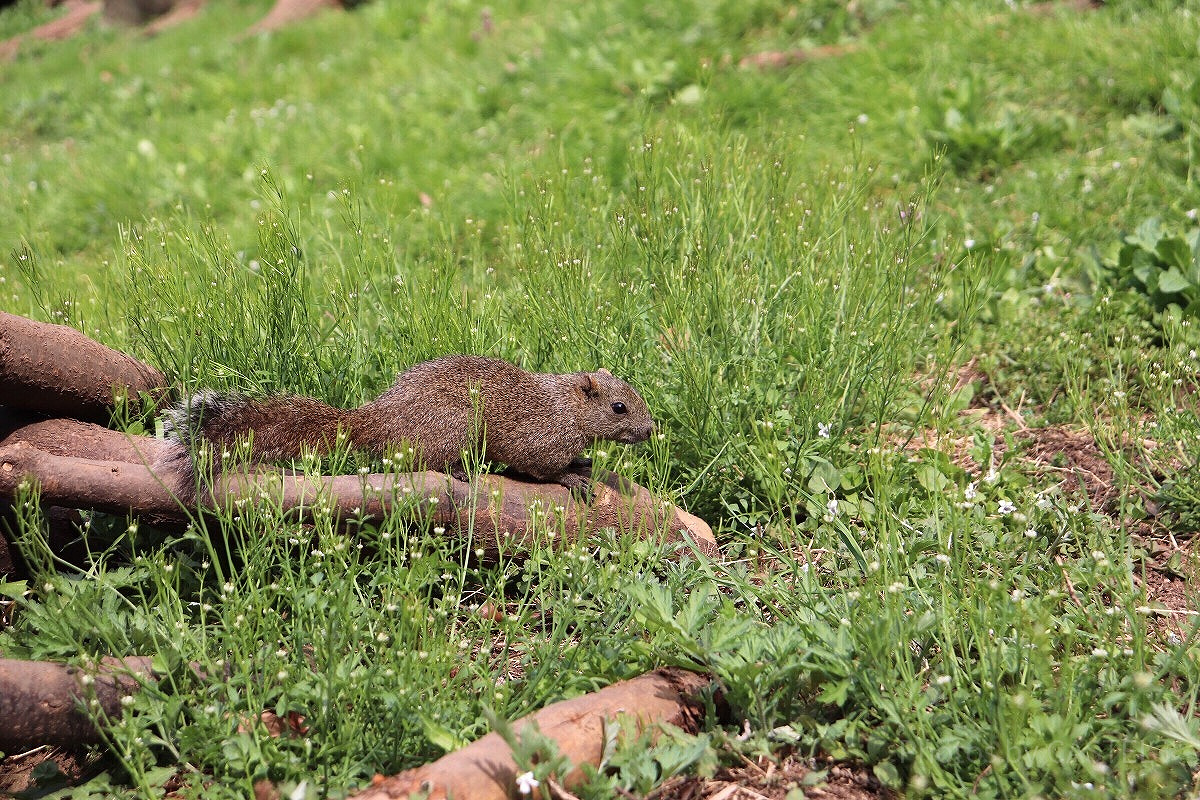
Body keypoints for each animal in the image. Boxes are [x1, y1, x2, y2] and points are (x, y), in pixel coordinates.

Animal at [160, 355, 657, 496]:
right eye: (619, 408)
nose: (651, 429)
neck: (567, 407)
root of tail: (377, 419)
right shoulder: (538, 439)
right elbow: (541, 469)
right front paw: (573, 477)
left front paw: (585, 461)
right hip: (452, 427)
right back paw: (459, 471)